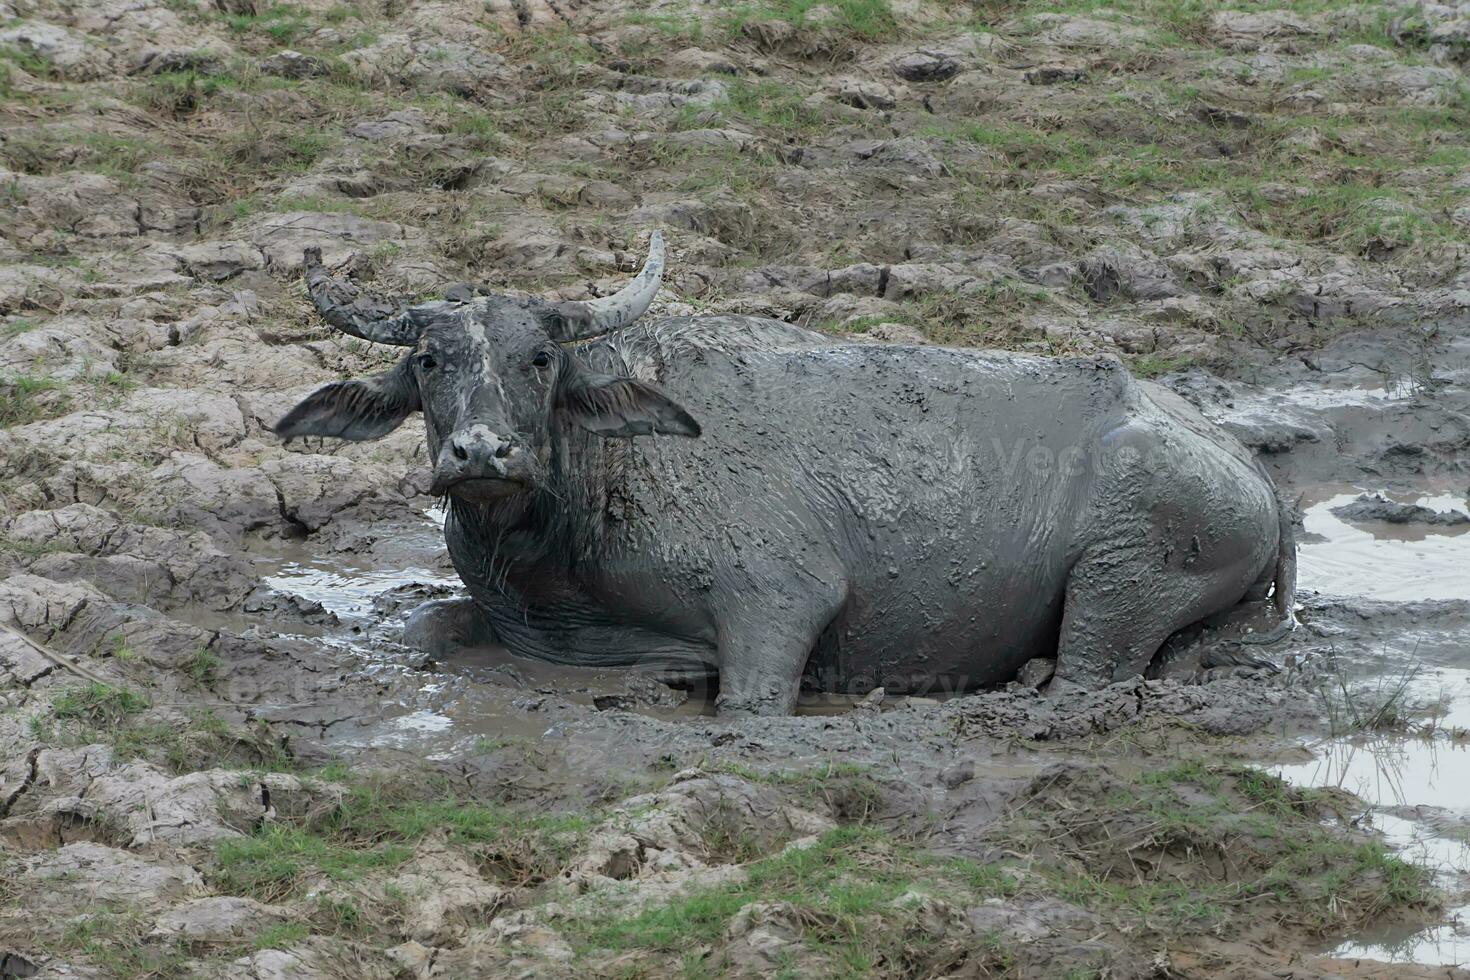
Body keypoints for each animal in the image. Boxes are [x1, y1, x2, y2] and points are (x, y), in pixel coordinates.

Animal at [277, 233, 1299, 717]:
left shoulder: (779, 603)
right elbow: (422, 626)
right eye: (431, 361)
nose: (482, 454)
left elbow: (749, 699)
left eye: (538, 359)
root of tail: (1253, 475)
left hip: (1119, 583)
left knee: (1089, 670)